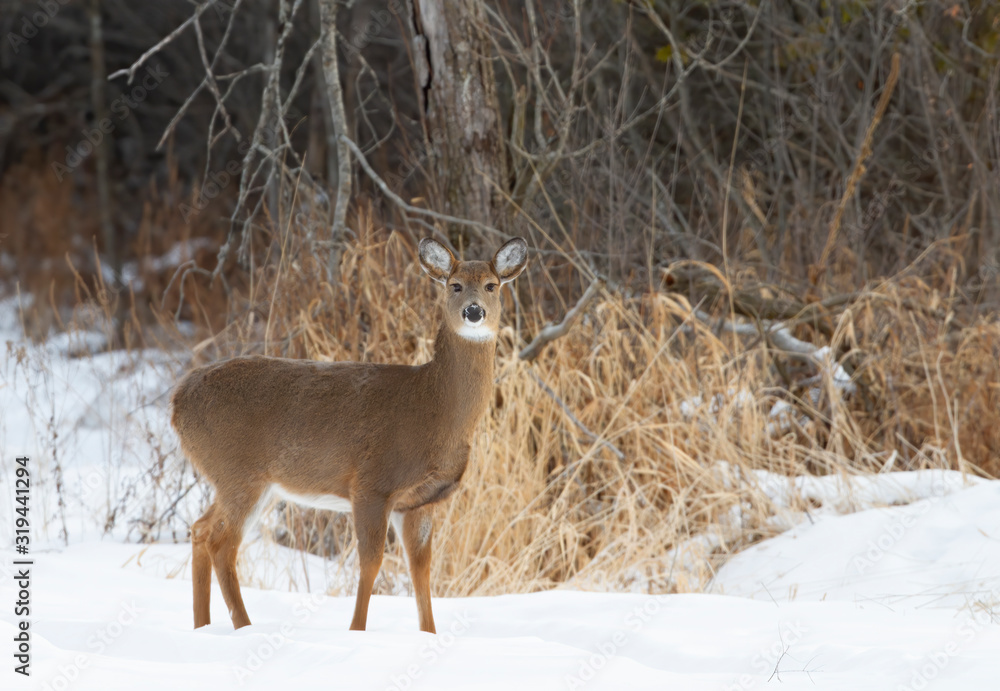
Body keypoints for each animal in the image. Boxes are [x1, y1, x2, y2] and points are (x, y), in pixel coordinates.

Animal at [171, 236, 528, 634]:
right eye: (455, 285)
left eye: (492, 285)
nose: (473, 311)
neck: (433, 408)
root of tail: (177, 400)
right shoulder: (372, 484)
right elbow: (371, 563)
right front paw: (356, 632)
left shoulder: (419, 502)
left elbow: (421, 570)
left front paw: (428, 635)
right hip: (239, 472)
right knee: (221, 543)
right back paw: (244, 627)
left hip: (244, 481)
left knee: (200, 530)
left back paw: (202, 627)